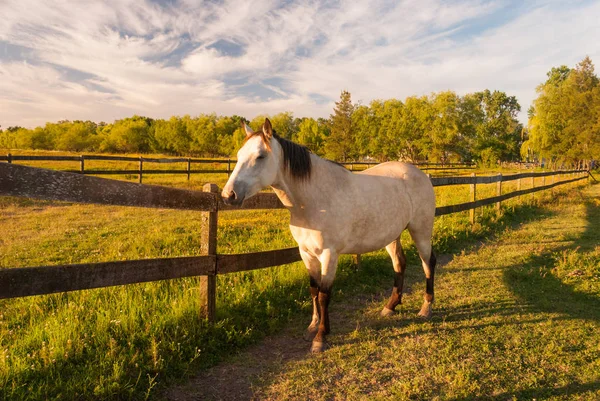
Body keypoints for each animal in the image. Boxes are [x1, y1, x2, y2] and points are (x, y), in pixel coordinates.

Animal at [220, 117, 436, 352]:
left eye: (260, 156)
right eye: (239, 155)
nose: (228, 195)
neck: (313, 201)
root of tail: (420, 174)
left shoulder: (329, 255)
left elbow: (324, 295)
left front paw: (321, 337)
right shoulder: (306, 253)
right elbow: (314, 290)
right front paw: (313, 326)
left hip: (421, 231)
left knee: (428, 263)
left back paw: (426, 307)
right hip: (391, 235)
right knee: (399, 264)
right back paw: (390, 306)